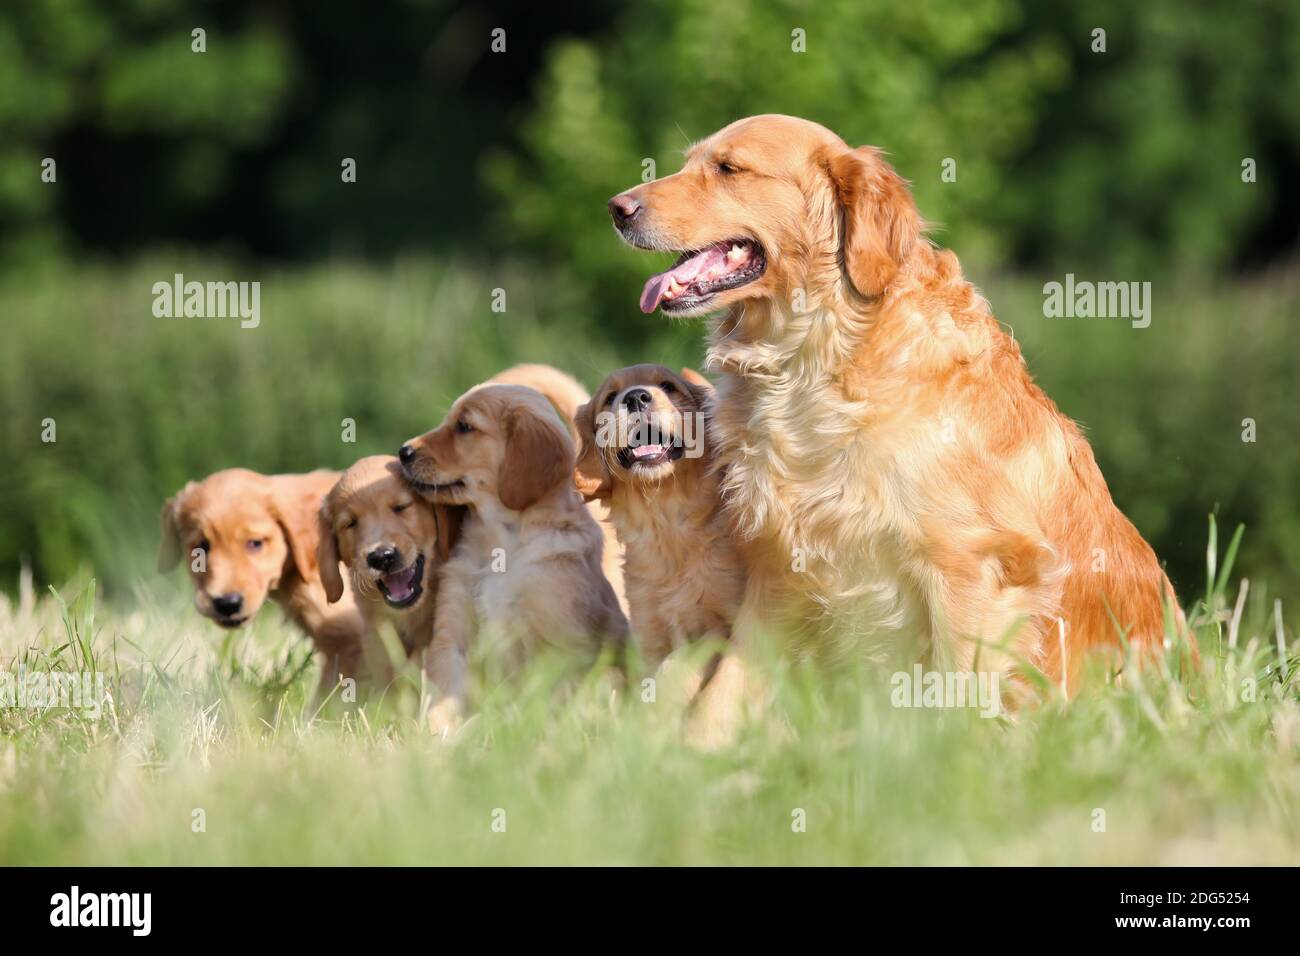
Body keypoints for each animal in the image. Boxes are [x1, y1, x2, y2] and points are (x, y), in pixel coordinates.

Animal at [400, 382, 634, 733]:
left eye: (464, 426)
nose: (403, 452)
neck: (502, 545)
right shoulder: (453, 631)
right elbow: (445, 694)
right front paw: (435, 734)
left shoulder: (558, 640)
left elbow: (549, 700)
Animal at [603, 111, 1185, 712]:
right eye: (688, 162)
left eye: (728, 168)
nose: (617, 207)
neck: (812, 359)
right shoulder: (777, 569)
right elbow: (721, 693)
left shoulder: (971, 568)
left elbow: (958, 698)